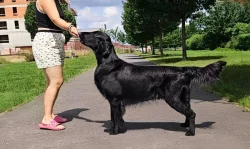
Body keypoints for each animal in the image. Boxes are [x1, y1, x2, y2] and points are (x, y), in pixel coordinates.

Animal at [79, 30, 227, 136]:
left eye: (93, 34)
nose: (79, 33)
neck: (107, 63)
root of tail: (183, 70)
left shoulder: (114, 99)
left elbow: (115, 118)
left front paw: (114, 132)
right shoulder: (114, 101)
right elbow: (114, 117)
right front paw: (116, 129)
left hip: (172, 98)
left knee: (192, 113)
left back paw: (191, 132)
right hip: (184, 97)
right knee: (188, 111)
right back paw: (185, 125)